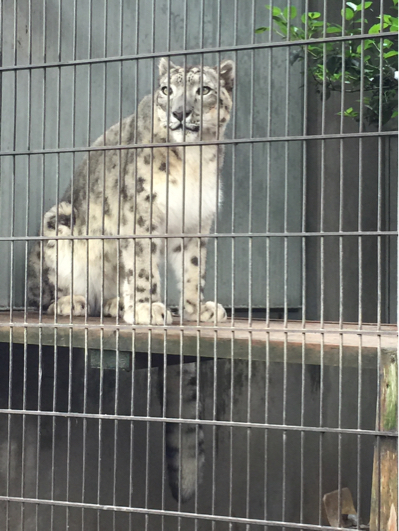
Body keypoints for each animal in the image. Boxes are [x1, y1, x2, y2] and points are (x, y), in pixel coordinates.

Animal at [27, 57, 234, 324]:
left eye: (204, 90)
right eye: (166, 90)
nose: (179, 112)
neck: (193, 160)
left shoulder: (195, 221)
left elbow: (193, 268)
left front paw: (197, 309)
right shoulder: (141, 213)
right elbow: (143, 266)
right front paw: (147, 309)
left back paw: (116, 303)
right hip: (58, 221)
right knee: (47, 295)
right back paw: (70, 302)